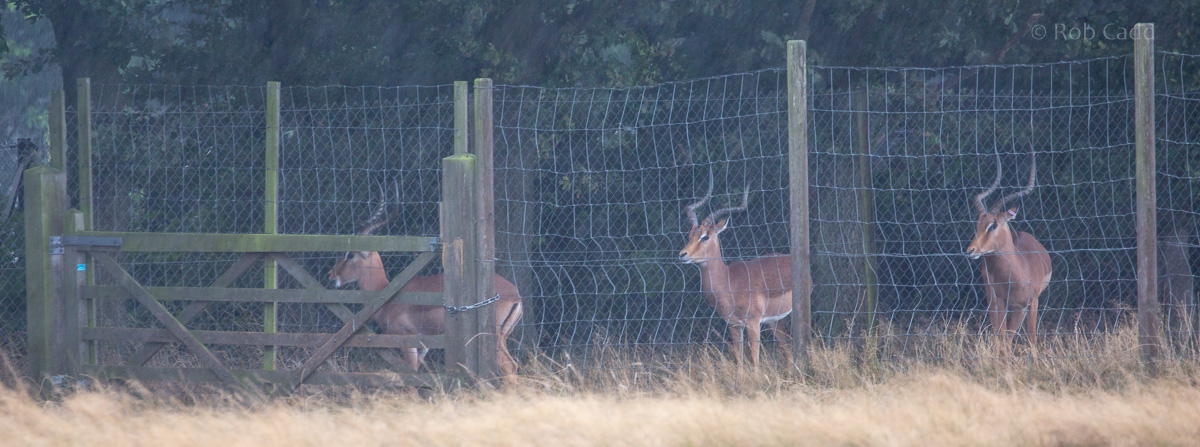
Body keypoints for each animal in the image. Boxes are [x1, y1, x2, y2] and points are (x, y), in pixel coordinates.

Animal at [328, 193, 524, 376]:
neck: (386, 293)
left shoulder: (406, 341)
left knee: (509, 367)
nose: (331, 274)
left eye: (350, 255)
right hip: (502, 338)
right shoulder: (424, 346)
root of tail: (515, 296)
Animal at [678, 172, 793, 366]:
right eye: (690, 234)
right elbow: (739, 359)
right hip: (776, 322)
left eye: (705, 236)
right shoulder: (733, 325)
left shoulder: (753, 323)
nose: (682, 254)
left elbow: (754, 360)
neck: (729, 283)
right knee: (788, 353)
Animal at [965, 153, 1052, 356]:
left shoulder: (1031, 302)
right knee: (1001, 337)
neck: (1017, 273)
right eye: (977, 223)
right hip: (995, 302)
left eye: (993, 224)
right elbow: (1001, 337)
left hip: (1018, 309)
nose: (971, 250)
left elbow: (1031, 339)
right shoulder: (1000, 302)